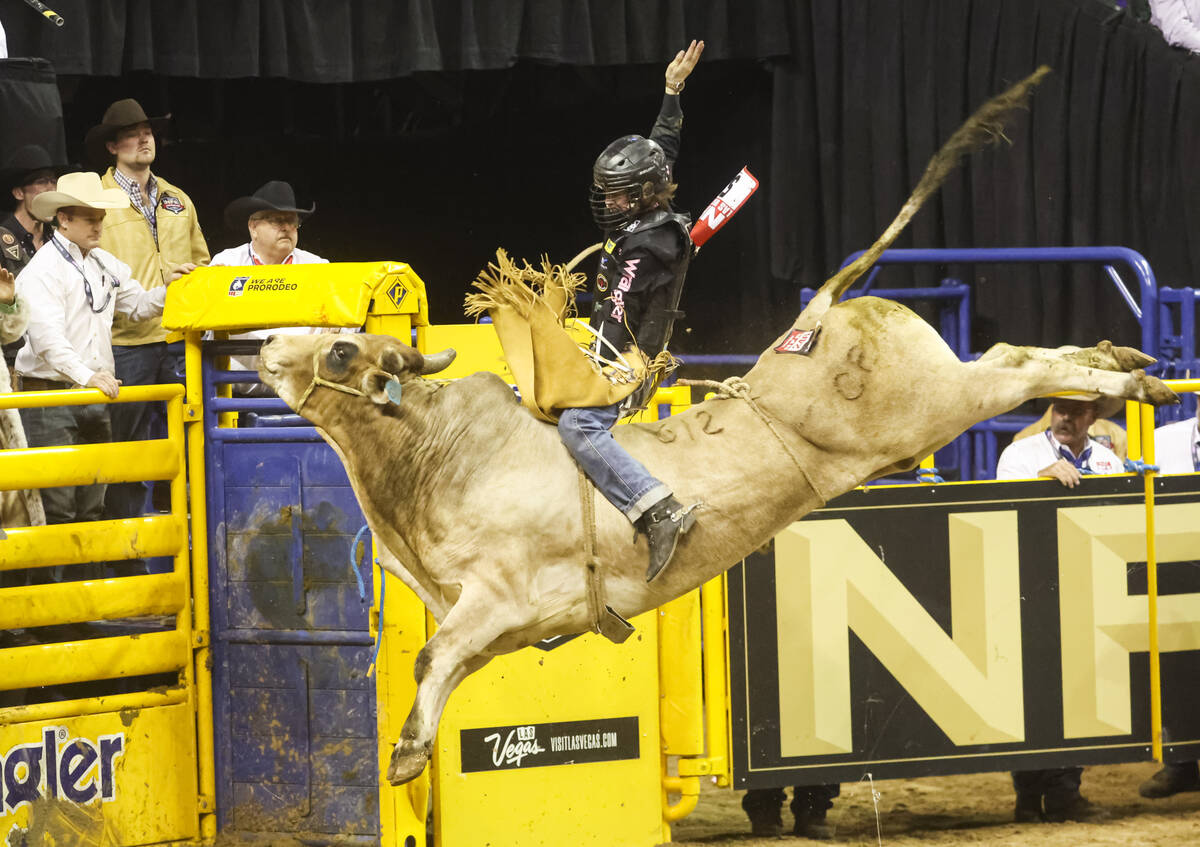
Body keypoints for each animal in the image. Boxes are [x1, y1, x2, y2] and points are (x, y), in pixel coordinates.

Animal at [255, 67, 1180, 787]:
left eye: (340, 347)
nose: (264, 347)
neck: (437, 455)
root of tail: (821, 308)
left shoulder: (495, 596)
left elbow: (428, 659)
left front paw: (408, 754)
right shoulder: (492, 627)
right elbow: (441, 667)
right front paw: (411, 749)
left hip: (930, 404)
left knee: (1016, 370)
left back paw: (1132, 377)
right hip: (938, 392)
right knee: (1014, 350)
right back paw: (1127, 356)